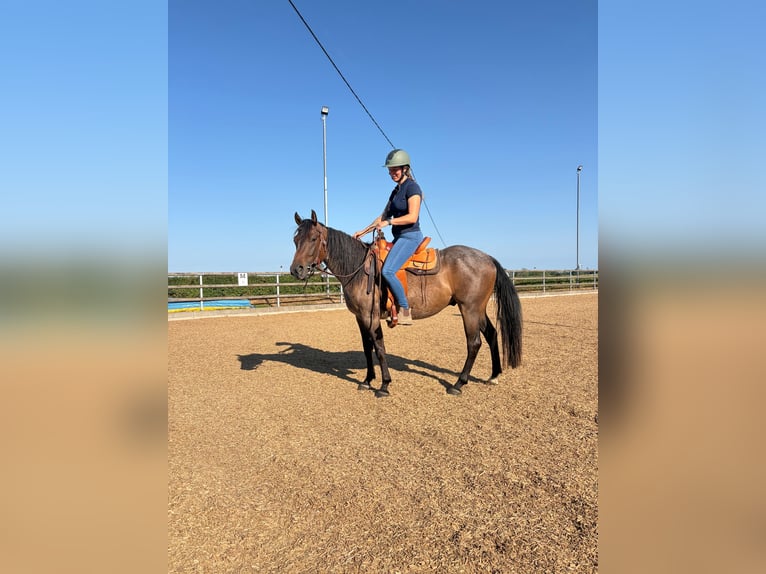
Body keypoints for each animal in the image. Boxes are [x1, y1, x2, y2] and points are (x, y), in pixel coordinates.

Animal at [290, 210, 522, 397]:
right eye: (295, 240)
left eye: (313, 238)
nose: (296, 269)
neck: (359, 269)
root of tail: (488, 258)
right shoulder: (359, 317)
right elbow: (367, 348)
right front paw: (367, 380)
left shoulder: (371, 316)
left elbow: (379, 348)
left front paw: (384, 385)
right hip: (477, 309)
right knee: (492, 334)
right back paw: (493, 376)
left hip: (469, 309)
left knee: (474, 343)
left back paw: (458, 384)